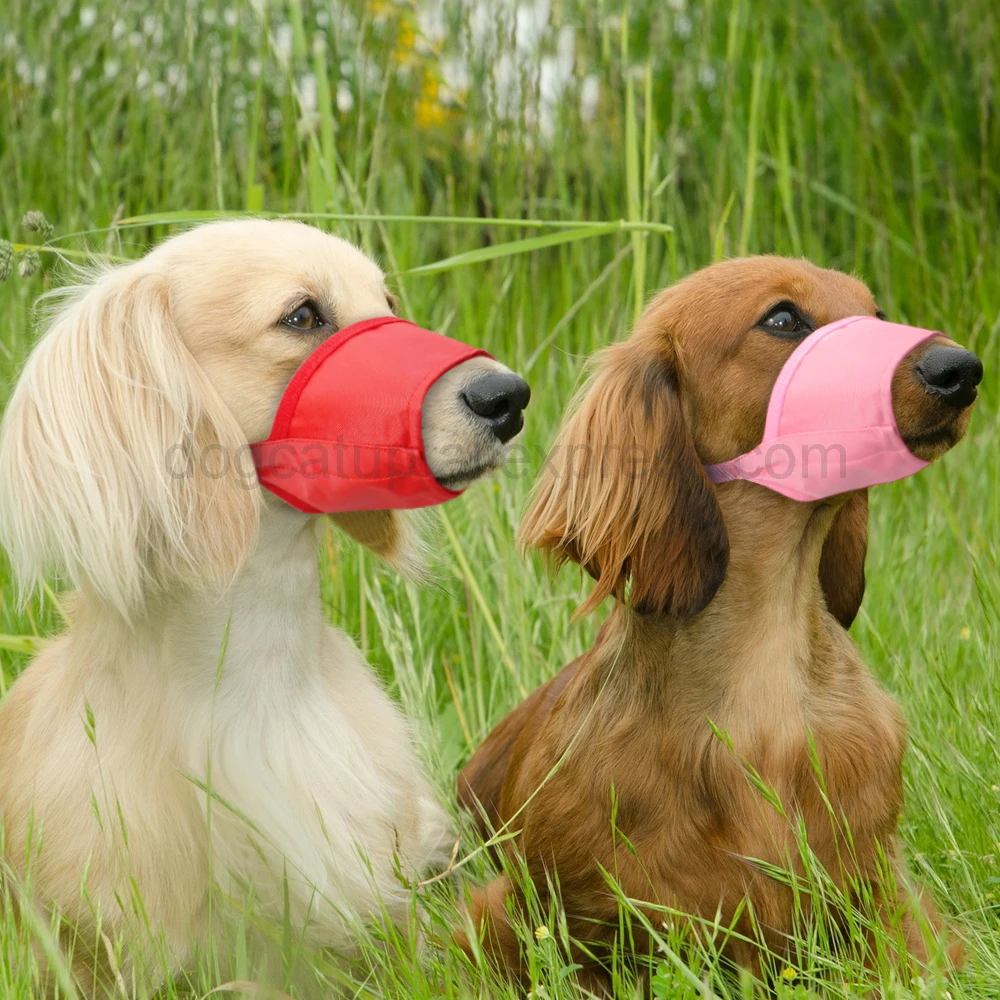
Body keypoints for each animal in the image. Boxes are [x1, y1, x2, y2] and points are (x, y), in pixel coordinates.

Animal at [458, 254, 980, 988]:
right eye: (783, 318)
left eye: (876, 316)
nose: (962, 369)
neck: (765, 694)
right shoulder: (547, 925)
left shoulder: (888, 909)